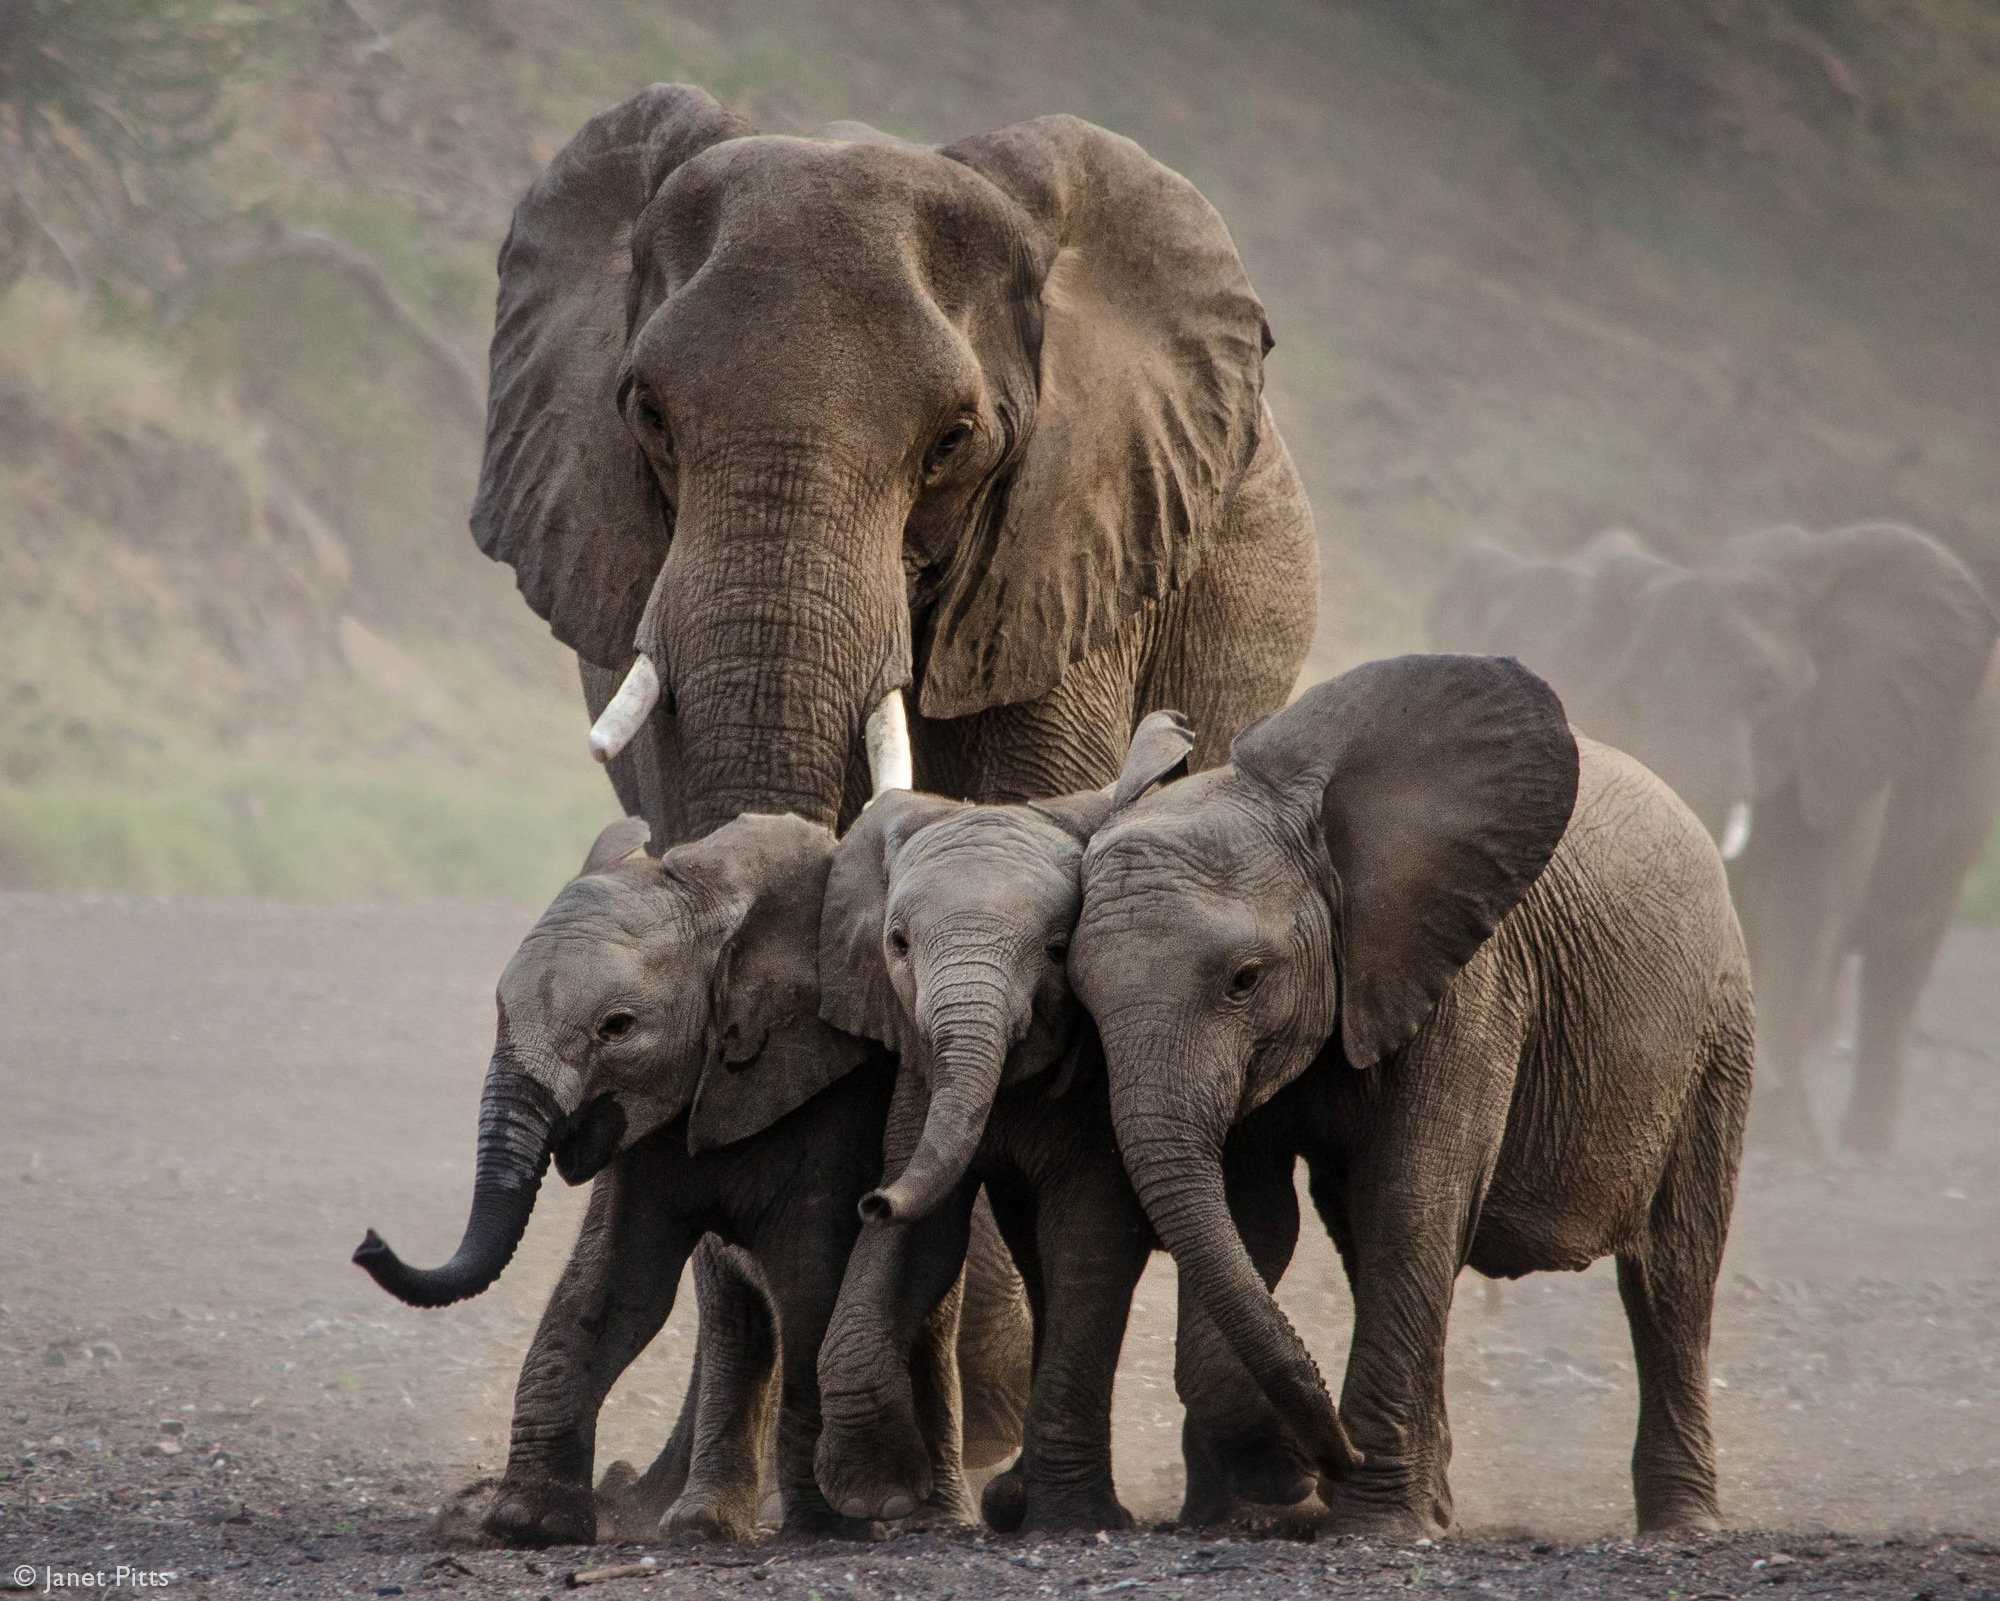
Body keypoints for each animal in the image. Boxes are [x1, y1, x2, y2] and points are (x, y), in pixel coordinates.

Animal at [350, 820, 1024, 1544]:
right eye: (500, 1012)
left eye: (616, 1027)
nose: (368, 1242)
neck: (712, 895)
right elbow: (616, 1284)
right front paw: (529, 1524)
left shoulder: (835, 1104)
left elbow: (811, 1282)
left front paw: (833, 1528)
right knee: (737, 1318)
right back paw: (703, 1523)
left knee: (913, 1316)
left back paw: (930, 1518)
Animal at [460, 90, 1320, 1552]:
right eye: (644, 411)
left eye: (956, 439)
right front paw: (724, 1513)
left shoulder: (1061, 552)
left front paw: (932, 1481)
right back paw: (675, 1497)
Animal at [1080, 652, 1752, 1536]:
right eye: (1080, 999)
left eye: (1244, 979)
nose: (1334, 1460)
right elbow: (1255, 1217)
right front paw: (1286, 1476)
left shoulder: (1473, 981)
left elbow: (1413, 1195)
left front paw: (1364, 1519)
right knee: (1364, 1241)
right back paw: (1432, 1503)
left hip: (1716, 1031)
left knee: (1672, 1274)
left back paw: (1682, 1526)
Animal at [1424, 524, 2000, 1152]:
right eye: (1631, 695)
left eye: (1767, 690)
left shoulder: (1841, 743)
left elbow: (1803, 909)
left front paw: (1781, 1135)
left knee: (1900, 959)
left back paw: (1862, 1151)